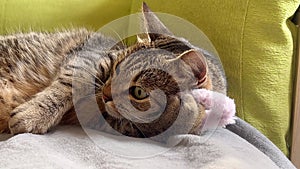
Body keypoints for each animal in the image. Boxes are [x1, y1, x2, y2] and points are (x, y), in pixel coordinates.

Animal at [0, 2, 225, 139]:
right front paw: (34, 114)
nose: (106, 94)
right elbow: (69, 85)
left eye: (139, 92)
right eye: (116, 68)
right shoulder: (87, 58)